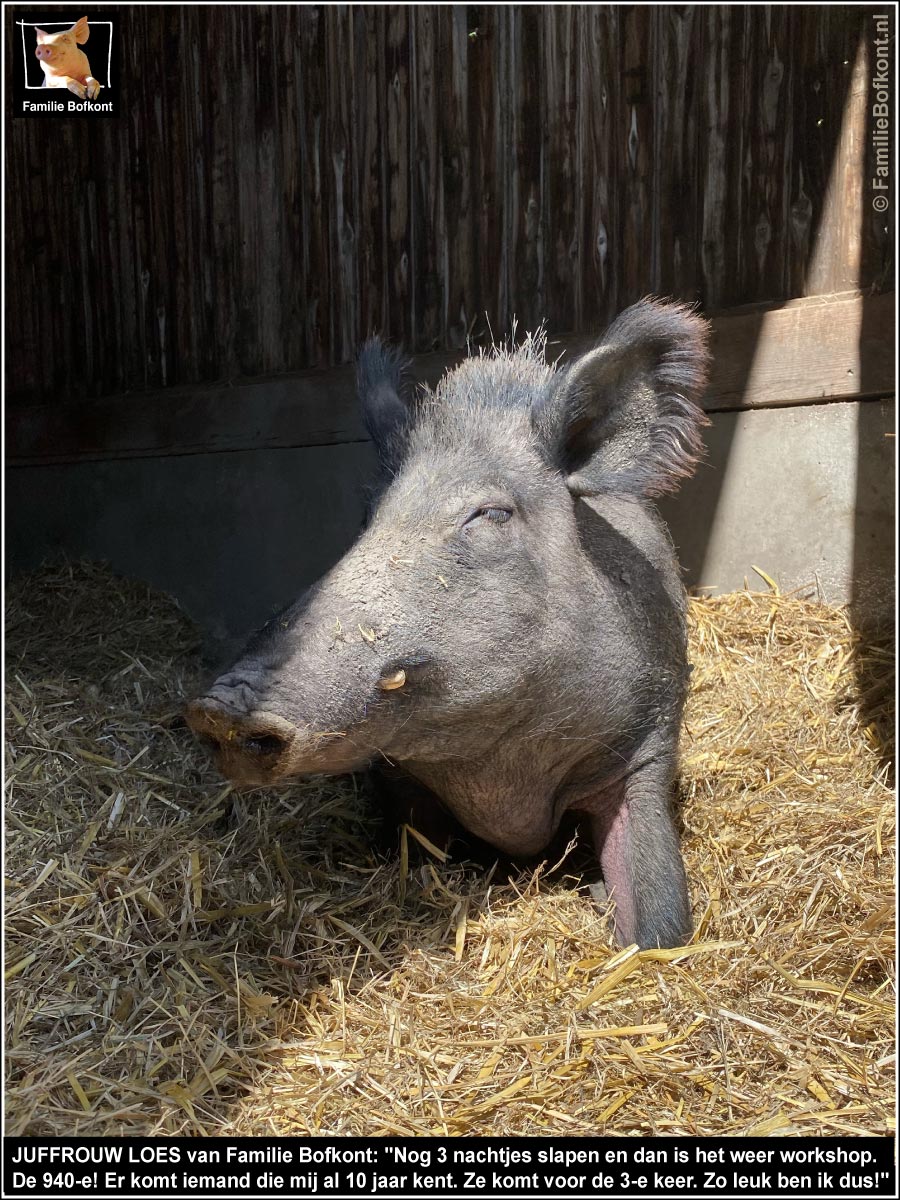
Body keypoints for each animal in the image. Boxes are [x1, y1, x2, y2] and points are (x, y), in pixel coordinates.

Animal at [188, 297, 710, 945]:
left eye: (490, 514)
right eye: (369, 515)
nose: (218, 707)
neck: (501, 775)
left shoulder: (647, 742)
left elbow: (660, 916)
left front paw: (629, 920)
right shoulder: (398, 780)